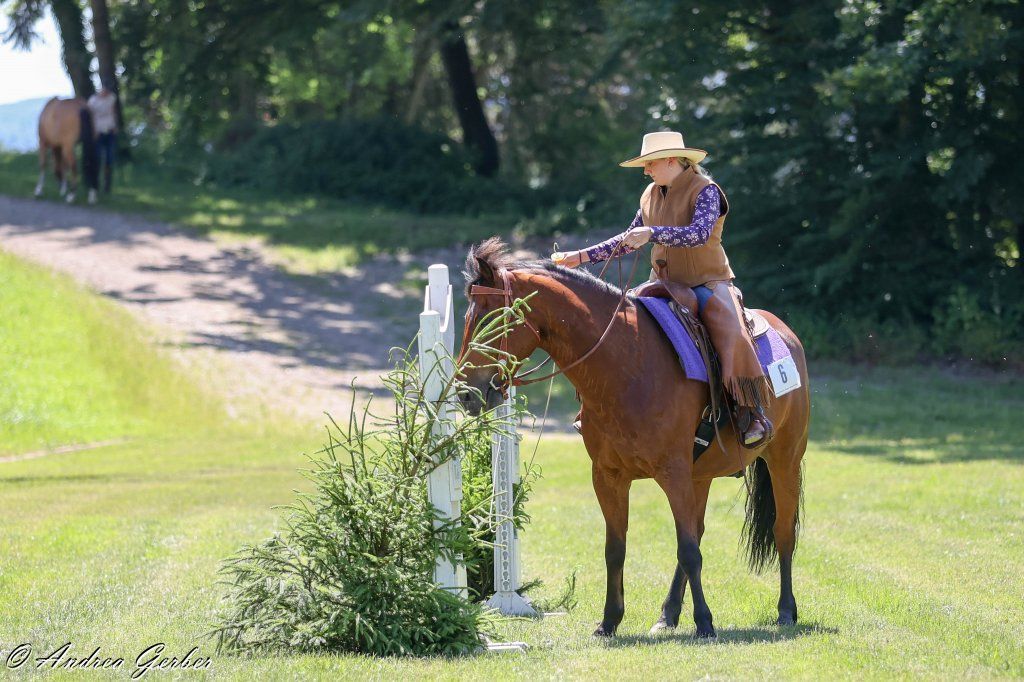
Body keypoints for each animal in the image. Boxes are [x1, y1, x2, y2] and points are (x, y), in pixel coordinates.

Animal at [457, 238, 809, 639]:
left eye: (491, 319)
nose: (466, 394)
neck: (626, 366)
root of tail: (787, 334)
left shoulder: (673, 472)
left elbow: (689, 550)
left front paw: (705, 622)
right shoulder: (608, 476)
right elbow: (617, 548)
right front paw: (610, 620)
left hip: (785, 460)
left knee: (783, 533)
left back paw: (786, 610)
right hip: (700, 476)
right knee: (699, 531)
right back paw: (668, 614)